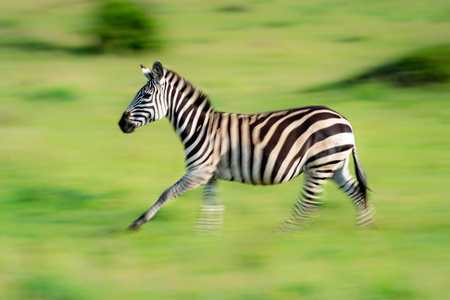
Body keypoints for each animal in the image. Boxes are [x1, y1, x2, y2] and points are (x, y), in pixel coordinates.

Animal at [118, 61, 374, 232]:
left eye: (146, 96)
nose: (121, 123)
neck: (200, 126)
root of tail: (344, 120)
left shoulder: (200, 171)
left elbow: (166, 193)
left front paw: (138, 222)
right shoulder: (210, 174)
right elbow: (211, 205)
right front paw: (205, 237)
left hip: (320, 164)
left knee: (310, 203)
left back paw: (284, 234)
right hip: (334, 165)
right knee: (357, 194)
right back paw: (366, 231)